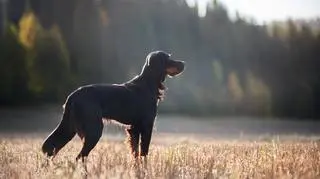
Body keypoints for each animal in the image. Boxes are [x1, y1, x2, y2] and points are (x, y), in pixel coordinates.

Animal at [42, 50, 185, 161]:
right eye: (169, 59)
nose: (184, 63)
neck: (148, 83)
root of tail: (73, 95)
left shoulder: (134, 129)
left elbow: (136, 154)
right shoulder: (147, 126)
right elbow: (144, 153)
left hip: (69, 128)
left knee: (53, 149)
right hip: (93, 130)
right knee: (79, 157)